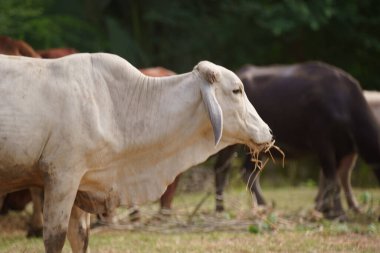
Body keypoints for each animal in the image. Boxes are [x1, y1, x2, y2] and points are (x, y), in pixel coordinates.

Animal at [0, 52, 274, 251]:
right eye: (236, 90)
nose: (268, 132)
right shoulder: (61, 177)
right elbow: (55, 239)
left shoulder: (82, 183)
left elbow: (79, 238)